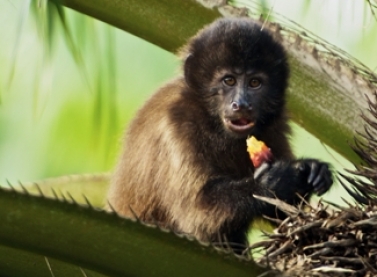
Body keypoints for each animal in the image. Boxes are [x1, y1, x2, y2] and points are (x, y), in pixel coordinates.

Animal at [106, 17, 332, 252]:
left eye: (254, 83)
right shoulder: (177, 125)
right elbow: (198, 215)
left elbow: (284, 217)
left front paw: (310, 170)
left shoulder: (274, 126)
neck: (213, 122)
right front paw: (270, 183)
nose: (241, 104)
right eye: (229, 80)